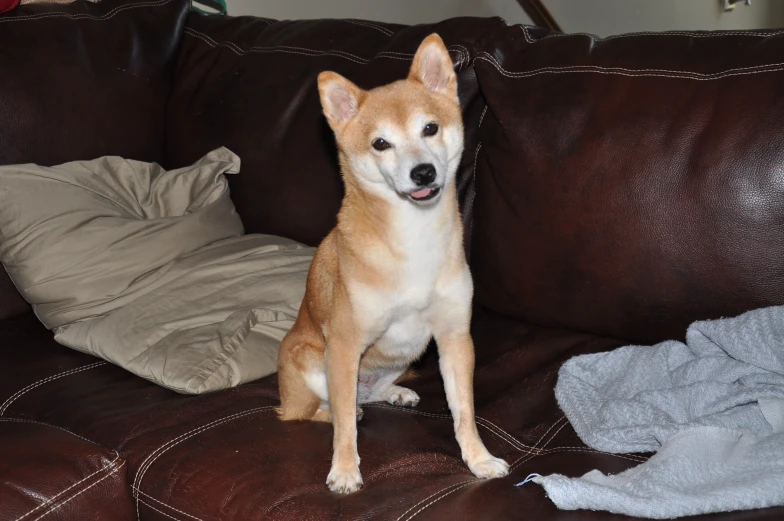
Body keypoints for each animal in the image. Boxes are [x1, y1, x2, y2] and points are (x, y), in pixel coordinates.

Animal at [278, 33, 512, 496]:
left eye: (430, 128)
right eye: (380, 143)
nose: (423, 172)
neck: (413, 235)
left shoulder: (454, 339)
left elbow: (464, 412)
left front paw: (478, 460)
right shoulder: (344, 344)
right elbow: (344, 429)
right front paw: (345, 470)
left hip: (404, 358)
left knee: (362, 397)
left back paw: (392, 395)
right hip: (311, 359)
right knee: (320, 412)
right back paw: (339, 412)